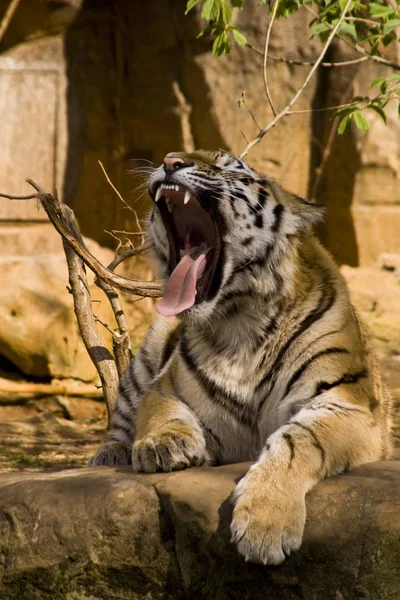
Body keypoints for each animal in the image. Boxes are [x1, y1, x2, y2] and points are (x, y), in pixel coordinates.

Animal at [89, 149, 392, 564]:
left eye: (229, 166)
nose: (169, 161)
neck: (240, 324)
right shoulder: (164, 387)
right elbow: (162, 412)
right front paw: (163, 444)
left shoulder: (346, 403)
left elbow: (297, 441)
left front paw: (266, 524)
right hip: (148, 350)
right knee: (120, 419)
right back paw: (109, 456)